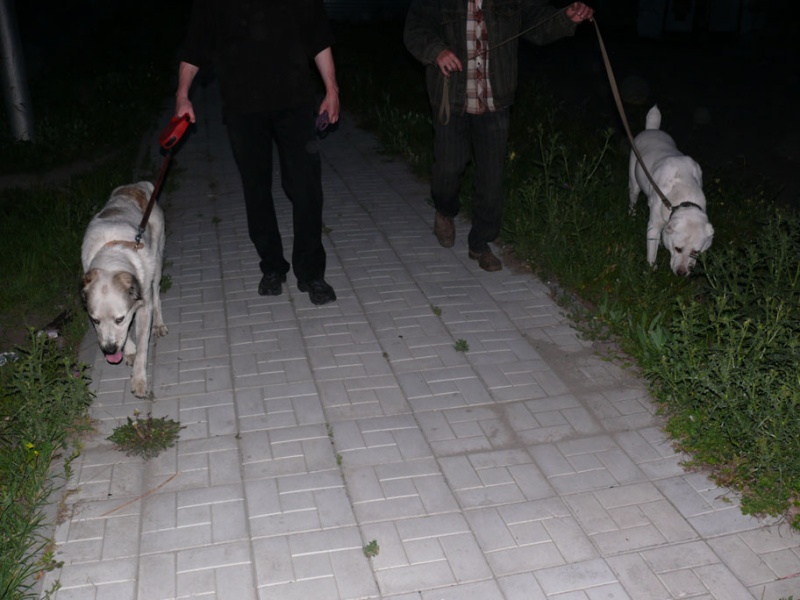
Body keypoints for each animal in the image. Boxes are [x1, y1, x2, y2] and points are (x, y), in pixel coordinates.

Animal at [80, 181, 167, 397]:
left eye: (119, 319)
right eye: (95, 321)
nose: (110, 352)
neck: (112, 259)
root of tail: (139, 184)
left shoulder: (143, 308)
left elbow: (143, 346)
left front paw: (139, 380)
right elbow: (126, 336)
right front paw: (129, 351)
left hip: (157, 259)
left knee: (156, 292)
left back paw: (159, 324)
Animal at [628, 105, 714, 276]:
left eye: (695, 252)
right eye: (678, 248)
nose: (682, 273)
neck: (683, 194)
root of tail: (652, 129)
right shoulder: (653, 226)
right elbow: (651, 251)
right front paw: (651, 269)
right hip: (634, 183)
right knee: (633, 198)